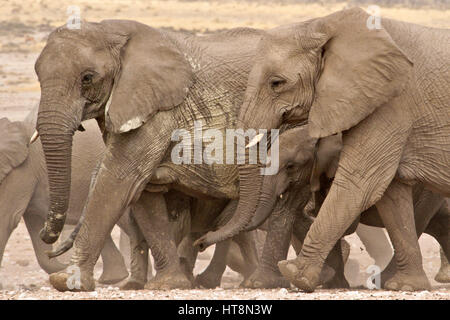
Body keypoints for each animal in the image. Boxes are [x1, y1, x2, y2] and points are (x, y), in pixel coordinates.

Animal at [34, 18, 268, 292]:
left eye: (87, 78)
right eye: (38, 75)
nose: (46, 237)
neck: (110, 31)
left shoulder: (158, 110)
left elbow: (119, 180)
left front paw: (68, 282)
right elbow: (144, 192)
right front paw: (169, 283)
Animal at [197, 8, 450, 292]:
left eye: (276, 83)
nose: (200, 242)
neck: (326, 25)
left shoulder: (392, 104)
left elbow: (360, 184)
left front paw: (297, 275)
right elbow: (391, 194)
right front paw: (403, 286)